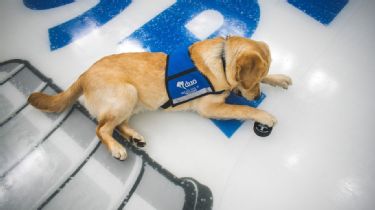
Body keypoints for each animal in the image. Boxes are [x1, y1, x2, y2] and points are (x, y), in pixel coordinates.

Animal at [28, 36, 294, 161]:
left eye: (260, 78)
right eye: (252, 82)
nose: (257, 95)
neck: (222, 59)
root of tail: (84, 74)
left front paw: (278, 77)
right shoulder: (210, 107)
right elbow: (242, 109)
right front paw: (264, 116)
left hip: (132, 102)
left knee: (116, 125)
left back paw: (134, 136)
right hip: (127, 93)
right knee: (101, 129)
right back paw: (116, 148)